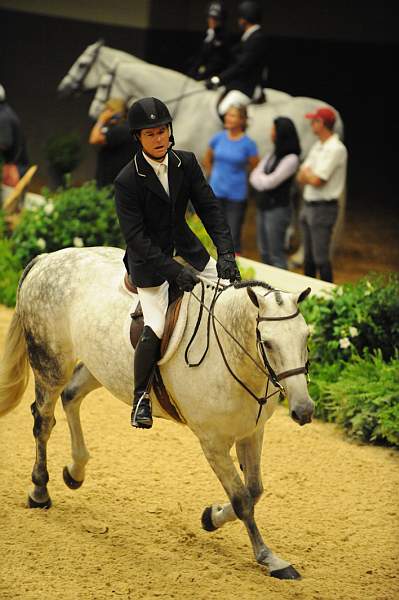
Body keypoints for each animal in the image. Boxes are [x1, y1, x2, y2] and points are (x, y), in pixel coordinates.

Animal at [0, 246, 316, 580]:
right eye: (267, 343)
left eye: (305, 337)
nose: (304, 410)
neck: (233, 355)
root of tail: (46, 258)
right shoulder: (213, 443)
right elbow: (242, 499)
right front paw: (268, 557)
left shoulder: (252, 431)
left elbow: (254, 490)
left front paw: (211, 517)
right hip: (50, 363)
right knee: (44, 421)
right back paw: (40, 491)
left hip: (105, 368)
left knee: (71, 396)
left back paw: (75, 472)